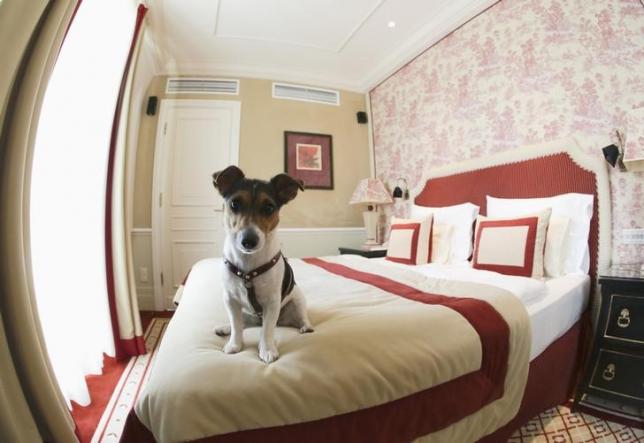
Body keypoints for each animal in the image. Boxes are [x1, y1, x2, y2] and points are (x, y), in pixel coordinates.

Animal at [213, 165, 314, 362]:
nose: (249, 241)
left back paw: (305, 326)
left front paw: (267, 349)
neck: (248, 266)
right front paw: (234, 344)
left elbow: (267, 330)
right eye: (234, 204)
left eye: (269, 207)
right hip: (245, 312)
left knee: (299, 317)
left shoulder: (272, 302)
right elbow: (236, 325)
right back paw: (225, 328)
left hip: (298, 300)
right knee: (243, 323)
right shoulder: (230, 299)